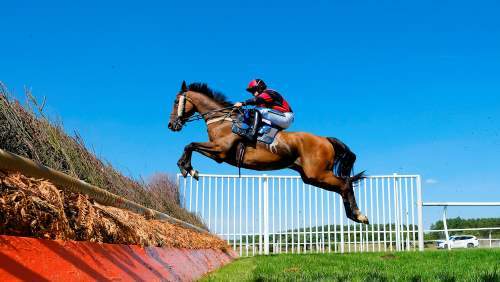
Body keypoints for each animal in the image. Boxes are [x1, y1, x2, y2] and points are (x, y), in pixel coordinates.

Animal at [168, 80, 368, 224]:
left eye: (176, 101)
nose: (171, 125)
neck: (222, 120)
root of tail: (325, 139)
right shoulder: (219, 154)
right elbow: (190, 145)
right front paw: (187, 167)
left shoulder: (221, 150)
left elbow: (190, 145)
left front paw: (188, 168)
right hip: (311, 177)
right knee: (342, 186)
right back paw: (353, 216)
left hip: (317, 173)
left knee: (345, 184)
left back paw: (359, 215)